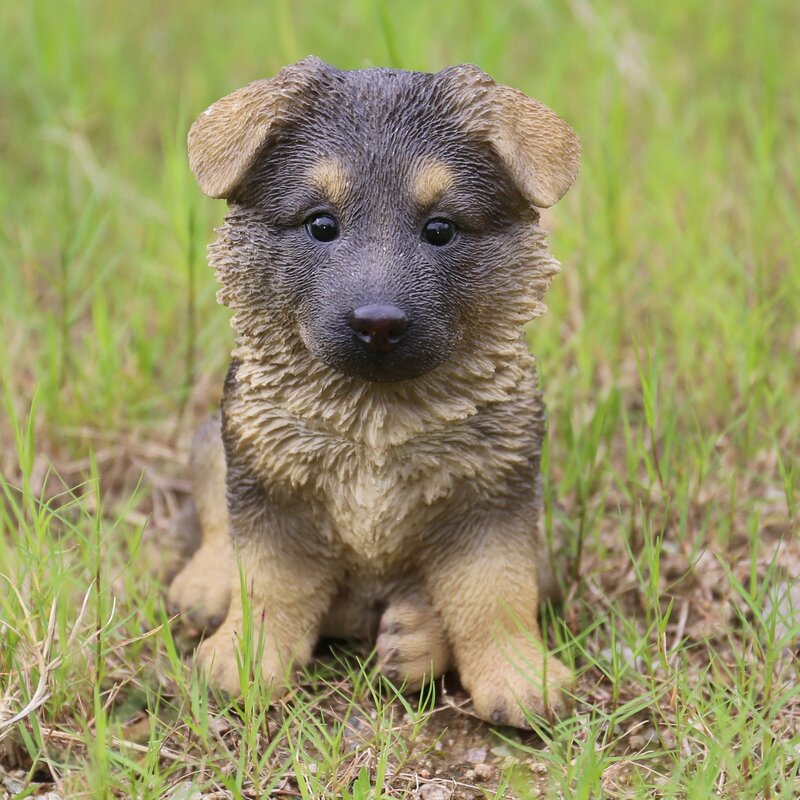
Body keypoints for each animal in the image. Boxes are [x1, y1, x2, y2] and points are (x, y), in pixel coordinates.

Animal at [169, 57, 580, 732]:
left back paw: (413, 637)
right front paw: (243, 663)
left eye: (440, 229)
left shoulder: (495, 496)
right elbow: (267, 583)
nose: (379, 323)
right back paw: (203, 587)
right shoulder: (269, 484)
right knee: (211, 514)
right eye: (320, 225)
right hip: (214, 437)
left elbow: (496, 593)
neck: (375, 418)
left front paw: (521, 677)